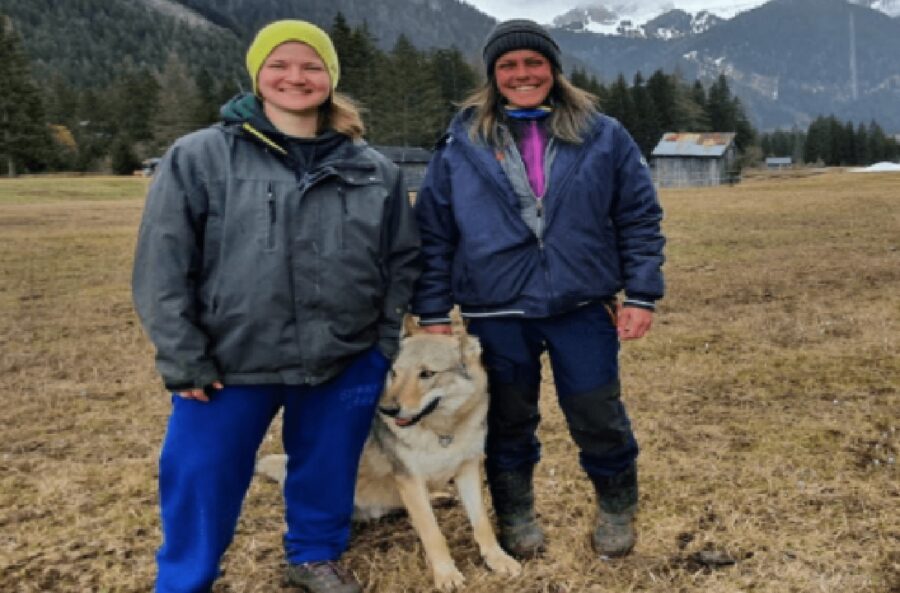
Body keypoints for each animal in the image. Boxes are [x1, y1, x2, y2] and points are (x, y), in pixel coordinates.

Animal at [253, 326, 520, 588]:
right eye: (394, 373)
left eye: (426, 374)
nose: (388, 410)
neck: (443, 432)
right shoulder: (409, 479)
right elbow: (432, 533)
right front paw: (446, 575)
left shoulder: (467, 469)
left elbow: (482, 522)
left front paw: (498, 559)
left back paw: (439, 497)